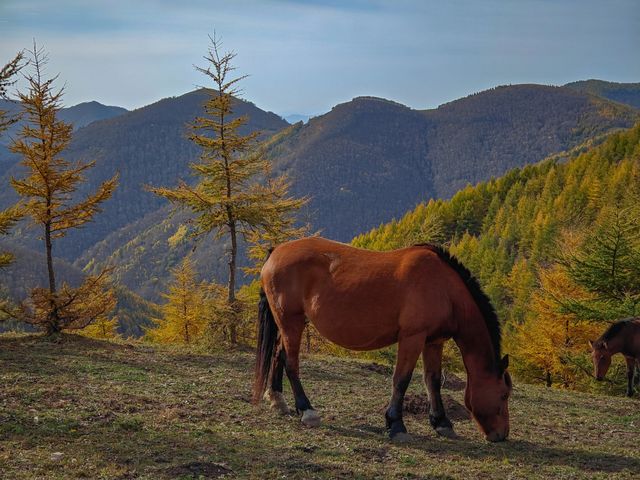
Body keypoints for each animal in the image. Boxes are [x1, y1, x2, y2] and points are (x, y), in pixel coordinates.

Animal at [252, 236, 512, 442]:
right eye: (504, 395)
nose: (501, 435)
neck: (444, 287)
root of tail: (276, 250)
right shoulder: (412, 338)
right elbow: (401, 380)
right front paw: (396, 424)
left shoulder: (433, 341)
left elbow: (433, 381)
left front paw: (441, 423)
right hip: (291, 321)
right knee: (291, 362)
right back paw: (306, 410)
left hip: (287, 323)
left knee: (278, 354)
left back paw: (278, 400)